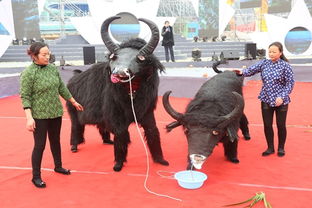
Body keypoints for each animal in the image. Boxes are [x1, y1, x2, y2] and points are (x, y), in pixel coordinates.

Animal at [65, 15, 168, 172]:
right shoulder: (116, 116)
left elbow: (152, 132)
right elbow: (121, 134)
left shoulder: (147, 113)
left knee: (101, 126)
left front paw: (160, 160)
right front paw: (118, 164)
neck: (131, 93)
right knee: (76, 127)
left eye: (140, 59)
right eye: (114, 57)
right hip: (74, 113)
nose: (119, 72)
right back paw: (74, 146)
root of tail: (72, 79)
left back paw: (107, 140)